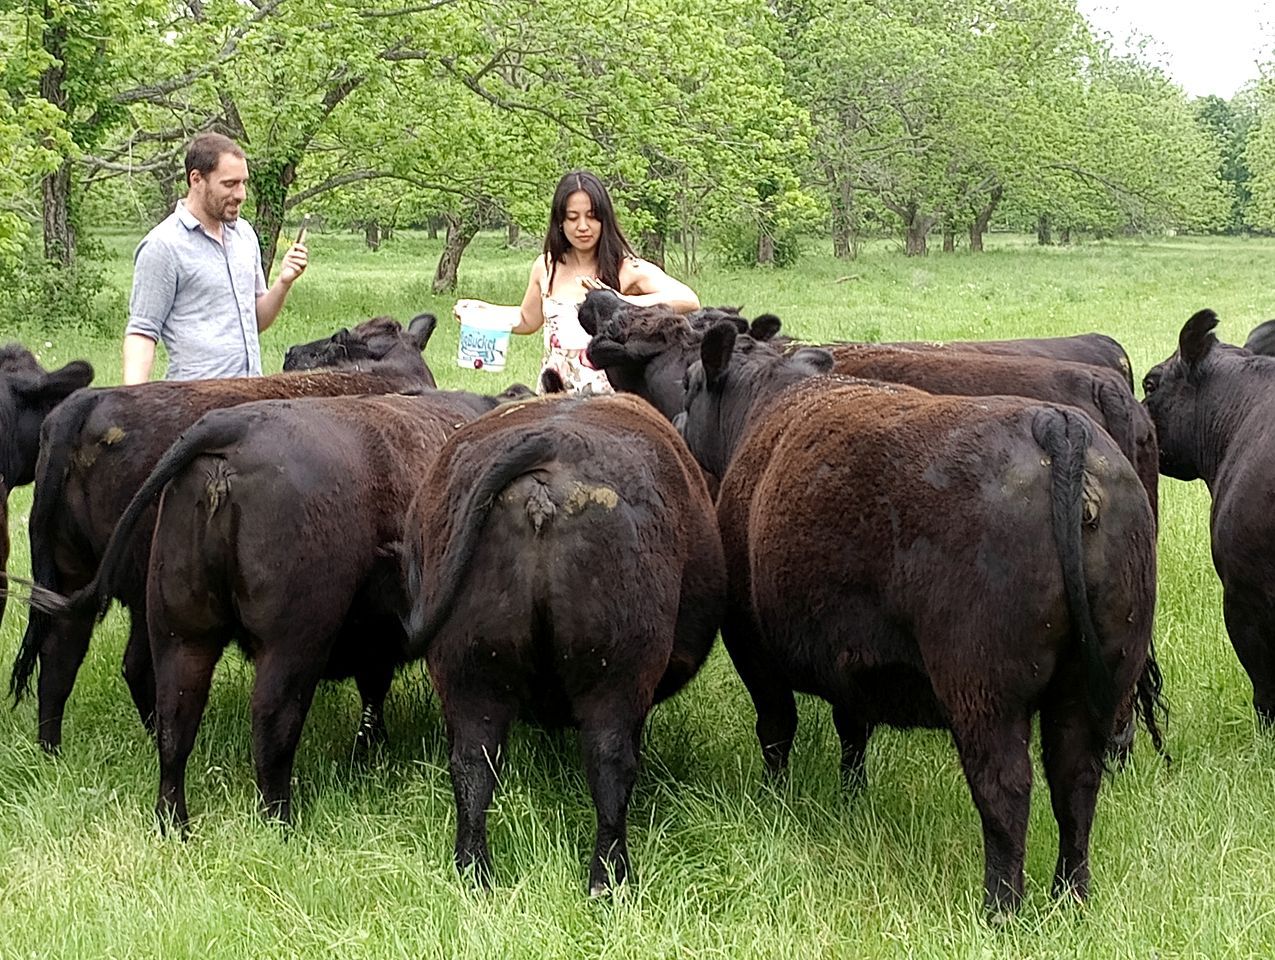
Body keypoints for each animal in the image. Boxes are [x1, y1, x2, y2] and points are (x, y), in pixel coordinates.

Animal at [36, 386, 528, 828]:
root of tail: (231, 427)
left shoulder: (374, 637)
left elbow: (373, 693)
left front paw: (372, 752)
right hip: (292, 644)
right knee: (272, 727)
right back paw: (281, 822)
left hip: (180, 633)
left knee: (170, 723)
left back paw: (173, 822)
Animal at [403, 394, 726, 895]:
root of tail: (554, 442)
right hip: (617, 670)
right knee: (611, 765)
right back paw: (609, 878)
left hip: (469, 667)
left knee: (473, 765)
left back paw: (474, 871)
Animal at [673, 324, 1157, 913]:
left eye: (690, 383)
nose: (675, 419)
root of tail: (1055, 424)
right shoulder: (848, 656)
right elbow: (852, 729)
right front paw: (851, 799)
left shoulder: (752, 648)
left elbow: (777, 730)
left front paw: (774, 799)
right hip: (1093, 683)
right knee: (1076, 783)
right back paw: (1070, 898)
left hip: (983, 689)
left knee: (1006, 789)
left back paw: (1000, 909)